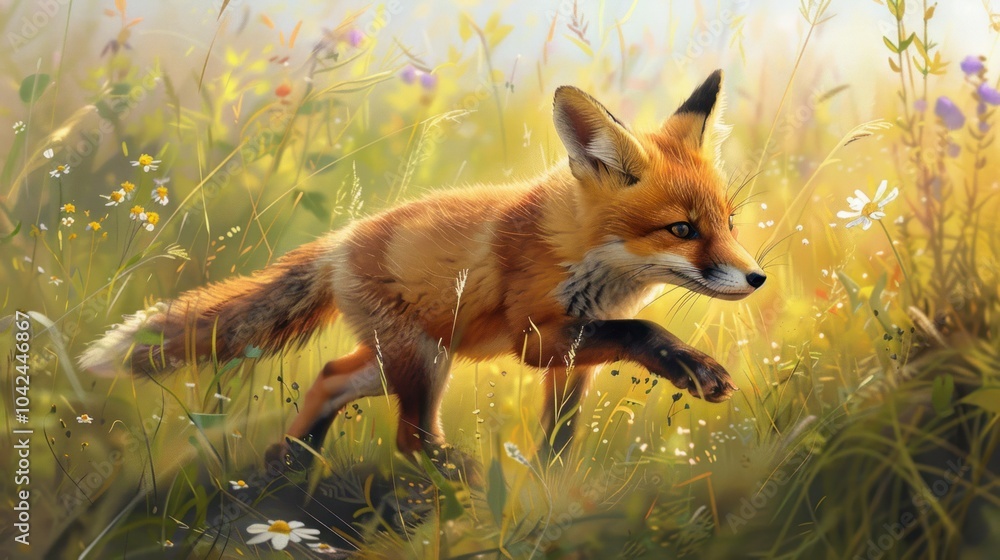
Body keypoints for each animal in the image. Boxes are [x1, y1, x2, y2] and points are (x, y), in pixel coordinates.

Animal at [80, 69, 765, 474]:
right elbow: (643, 332)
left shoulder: (574, 358)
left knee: (330, 377)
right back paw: (443, 472)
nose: (757, 279)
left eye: (729, 221)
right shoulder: (538, 340)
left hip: (401, 360)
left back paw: (292, 461)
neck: (583, 254)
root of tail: (340, 241)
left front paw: (549, 484)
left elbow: (561, 434)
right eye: (682, 230)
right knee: (408, 438)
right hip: (423, 362)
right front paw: (698, 368)